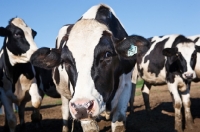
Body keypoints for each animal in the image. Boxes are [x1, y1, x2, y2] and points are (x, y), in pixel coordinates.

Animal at [30, 4, 145, 132]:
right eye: (65, 61)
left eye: (107, 54)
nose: (82, 107)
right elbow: (90, 127)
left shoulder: (126, 85)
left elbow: (119, 122)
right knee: (64, 111)